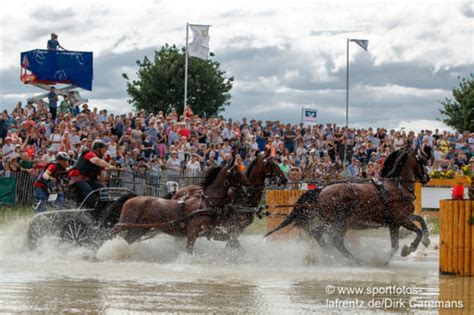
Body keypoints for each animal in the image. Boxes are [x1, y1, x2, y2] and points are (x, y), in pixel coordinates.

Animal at [106, 163, 248, 254]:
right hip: (125, 223)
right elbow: (189, 250)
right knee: (111, 232)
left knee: (127, 239)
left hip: (140, 228)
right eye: (236, 173)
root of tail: (132, 197)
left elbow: (233, 240)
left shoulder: (209, 231)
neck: (206, 202)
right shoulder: (193, 231)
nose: (247, 188)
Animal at [264, 148, 432, 264]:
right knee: (336, 241)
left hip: (331, 222)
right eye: (422, 161)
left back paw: (329, 254)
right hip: (341, 223)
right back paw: (354, 259)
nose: (427, 177)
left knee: (317, 233)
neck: (398, 186)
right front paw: (409, 248)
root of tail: (321, 191)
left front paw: (425, 240)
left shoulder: (395, 222)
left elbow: (414, 227)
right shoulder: (401, 218)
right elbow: (416, 231)